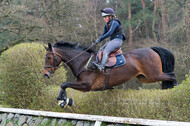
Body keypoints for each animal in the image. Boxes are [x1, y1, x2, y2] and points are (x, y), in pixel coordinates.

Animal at [43, 41, 178, 108]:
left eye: (49, 57)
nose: (45, 74)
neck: (83, 62)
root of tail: (151, 49)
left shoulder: (86, 86)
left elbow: (64, 84)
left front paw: (63, 100)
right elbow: (64, 85)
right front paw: (64, 100)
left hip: (154, 75)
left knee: (172, 75)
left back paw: (175, 90)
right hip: (144, 78)